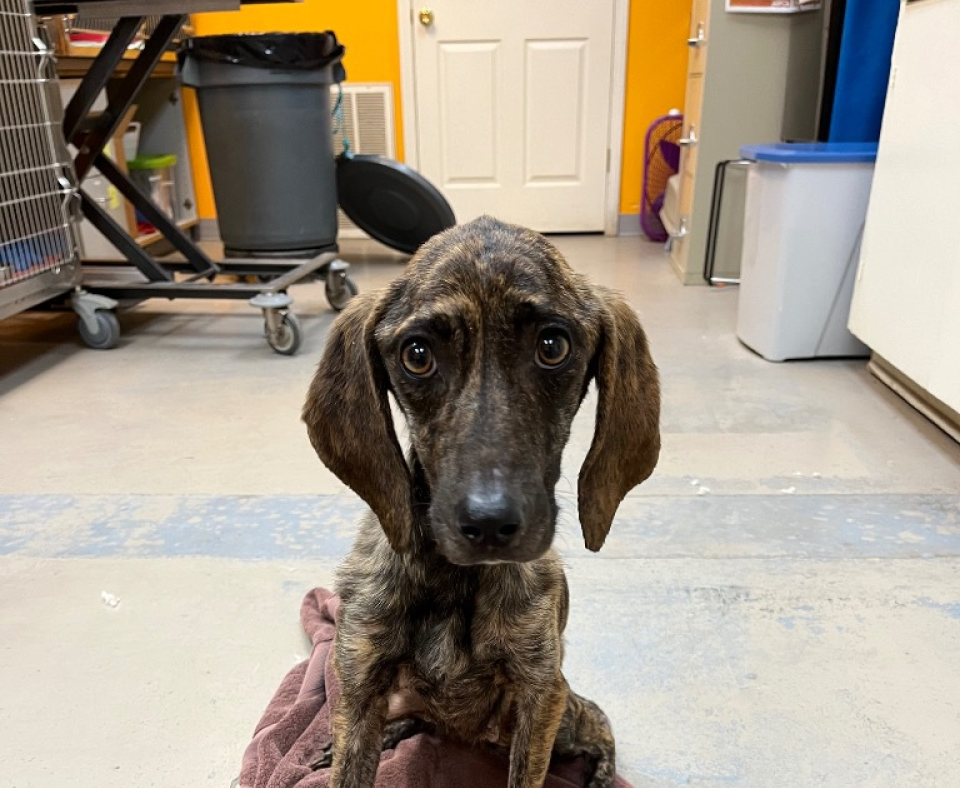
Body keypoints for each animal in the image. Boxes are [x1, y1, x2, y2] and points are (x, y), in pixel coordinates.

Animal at [302, 215, 660, 788]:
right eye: (417, 354)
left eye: (553, 345)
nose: (489, 524)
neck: (455, 582)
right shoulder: (358, 681)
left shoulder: (542, 694)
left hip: (565, 719)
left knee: (599, 725)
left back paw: (602, 775)